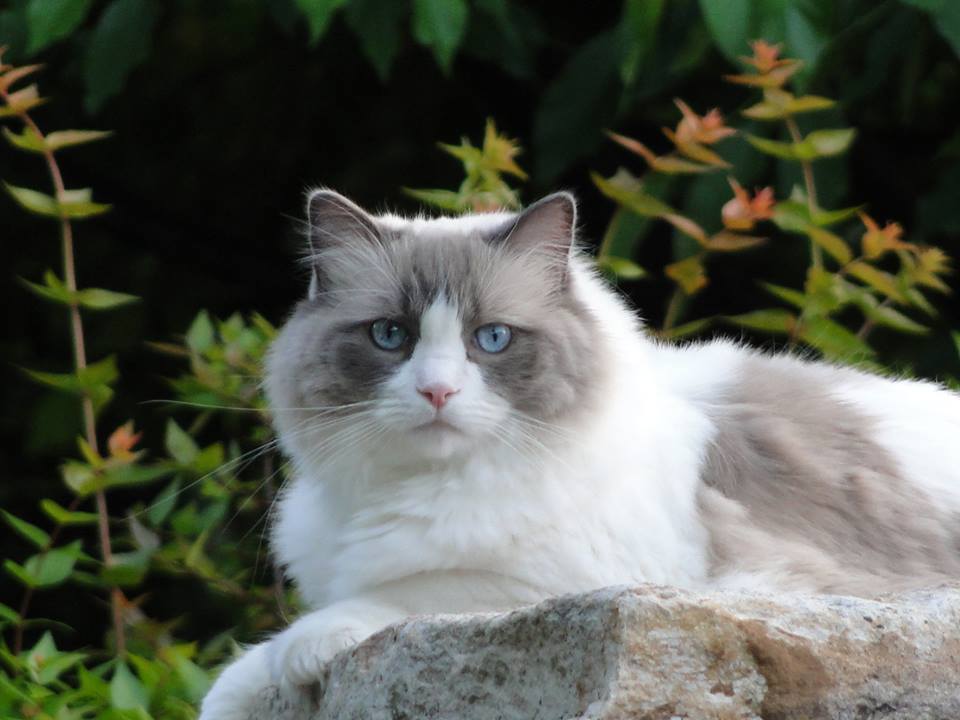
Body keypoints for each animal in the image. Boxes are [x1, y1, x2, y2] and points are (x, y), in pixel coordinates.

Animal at [197, 188, 960, 716]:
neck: (418, 488)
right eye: (390, 336)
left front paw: (303, 648)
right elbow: (238, 677)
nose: (437, 391)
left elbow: (396, 596)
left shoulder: (569, 582)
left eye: (492, 339)